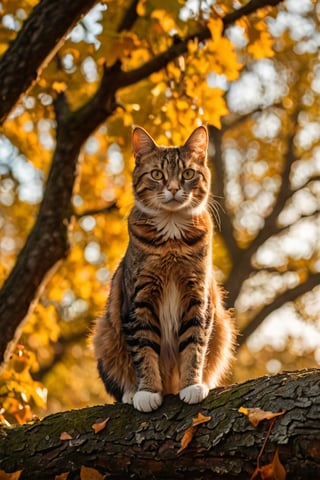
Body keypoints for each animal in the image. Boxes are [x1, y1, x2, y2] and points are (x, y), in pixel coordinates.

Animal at [92, 126, 235, 412]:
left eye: (187, 173)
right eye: (157, 174)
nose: (173, 189)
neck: (172, 240)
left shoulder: (197, 297)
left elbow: (194, 345)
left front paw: (191, 385)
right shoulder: (139, 299)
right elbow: (144, 348)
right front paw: (147, 392)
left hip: (224, 328)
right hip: (104, 333)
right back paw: (131, 392)